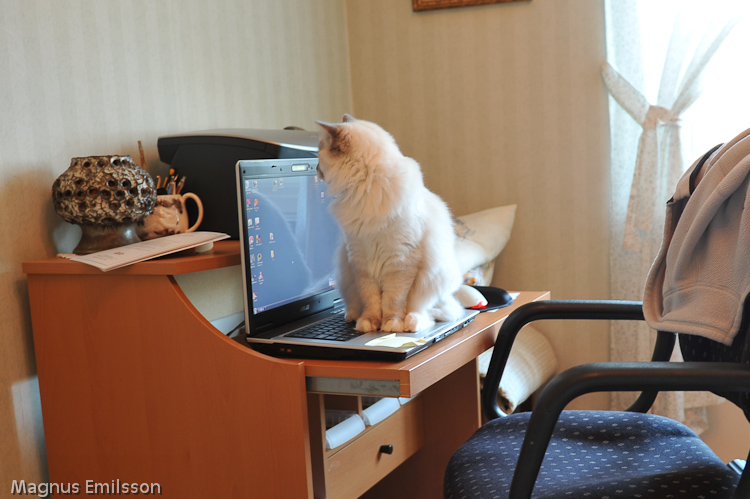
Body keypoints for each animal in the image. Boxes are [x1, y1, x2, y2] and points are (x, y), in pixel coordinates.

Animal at [316, 114, 464, 333]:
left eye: (319, 155)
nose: (316, 169)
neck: (366, 188)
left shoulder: (400, 262)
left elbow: (393, 301)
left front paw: (391, 325)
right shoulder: (361, 262)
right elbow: (371, 301)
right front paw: (369, 324)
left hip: (435, 279)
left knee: (430, 313)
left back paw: (412, 323)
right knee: (355, 305)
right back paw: (353, 317)